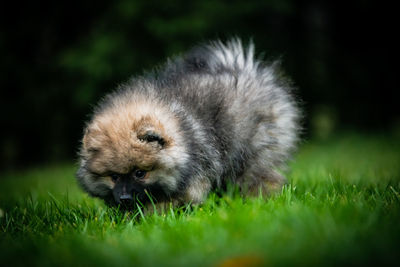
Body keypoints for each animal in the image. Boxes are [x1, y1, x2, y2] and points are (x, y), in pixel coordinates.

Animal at [76, 38, 300, 209]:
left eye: (140, 173)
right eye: (113, 176)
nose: (124, 198)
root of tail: (247, 67)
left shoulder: (196, 175)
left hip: (253, 153)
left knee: (262, 176)